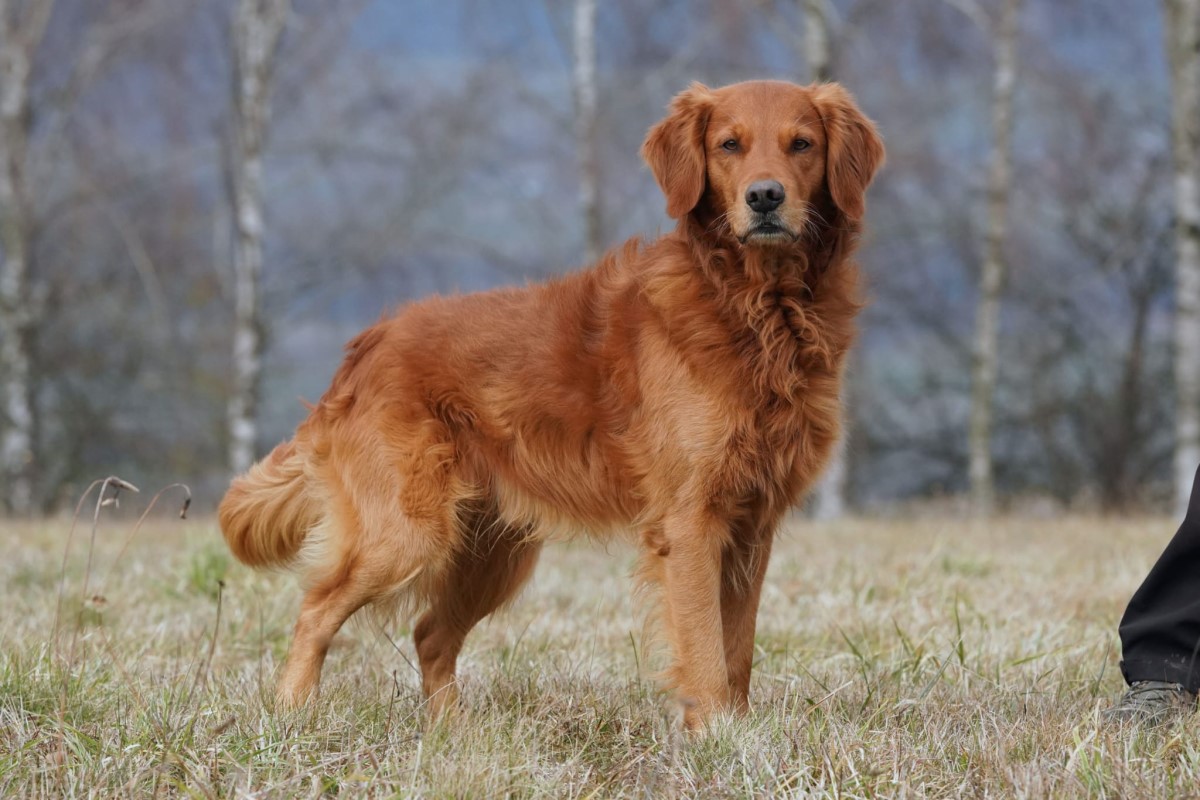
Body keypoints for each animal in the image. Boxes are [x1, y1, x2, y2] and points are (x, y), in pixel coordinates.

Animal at [220, 81, 888, 734]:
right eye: (729, 144)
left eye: (801, 144)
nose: (765, 197)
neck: (758, 307)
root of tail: (368, 344)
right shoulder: (692, 521)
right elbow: (704, 651)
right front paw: (716, 739)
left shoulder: (752, 526)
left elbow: (738, 648)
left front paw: (740, 733)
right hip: (406, 533)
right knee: (316, 611)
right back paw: (292, 716)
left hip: (492, 553)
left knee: (430, 634)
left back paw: (454, 736)